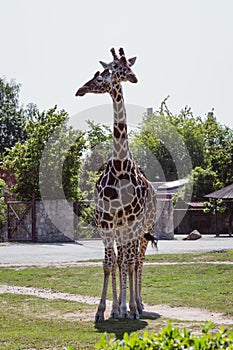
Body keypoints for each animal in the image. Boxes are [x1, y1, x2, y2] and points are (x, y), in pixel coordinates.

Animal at [75, 48, 157, 320]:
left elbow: (128, 264)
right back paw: (119, 307)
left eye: (126, 65)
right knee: (121, 261)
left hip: (141, 231)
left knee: (136, 262)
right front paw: (104, 310)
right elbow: (109, 263)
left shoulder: (131, 225)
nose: (80, 89)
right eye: (111, 67)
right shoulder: (107, 224)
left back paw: (136, 305)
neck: (120, 165)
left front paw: (129, 308)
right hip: (120, 231)